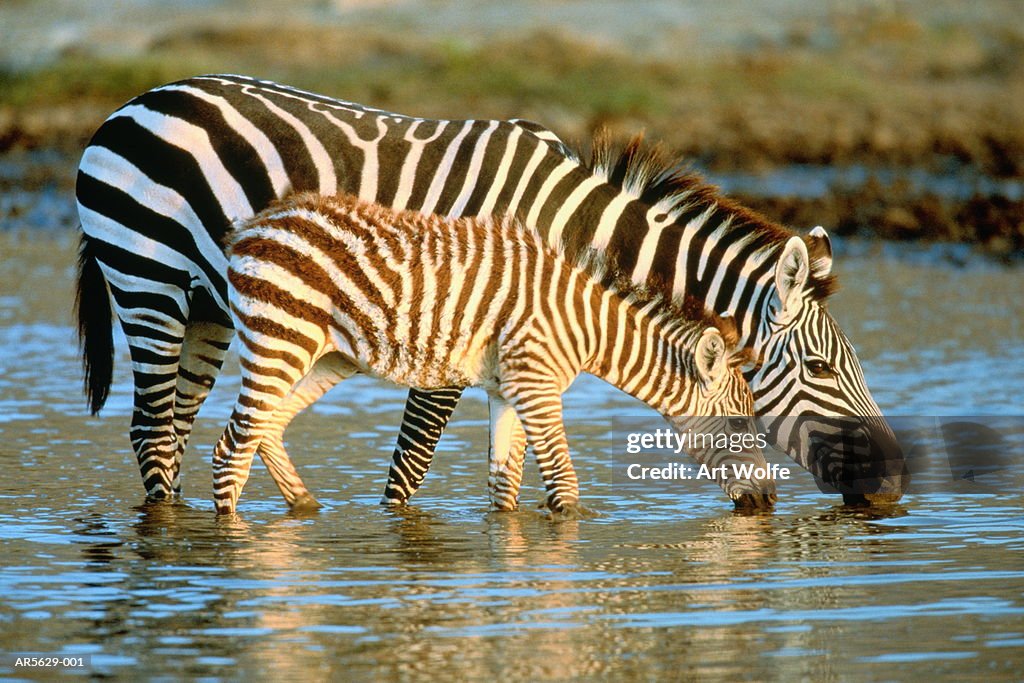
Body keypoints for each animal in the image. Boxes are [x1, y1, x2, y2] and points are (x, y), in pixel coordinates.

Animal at [211, 191, 770, 511]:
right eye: (740, 424)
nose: (768, 502)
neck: (584, 325)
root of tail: (259, 221)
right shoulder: (536, 386)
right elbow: (564, 489)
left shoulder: (508, 391)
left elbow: (504, 489)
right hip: (279, 338)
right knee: (231, 448)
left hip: (327, 355)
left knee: (267, 427)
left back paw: (306, 509)